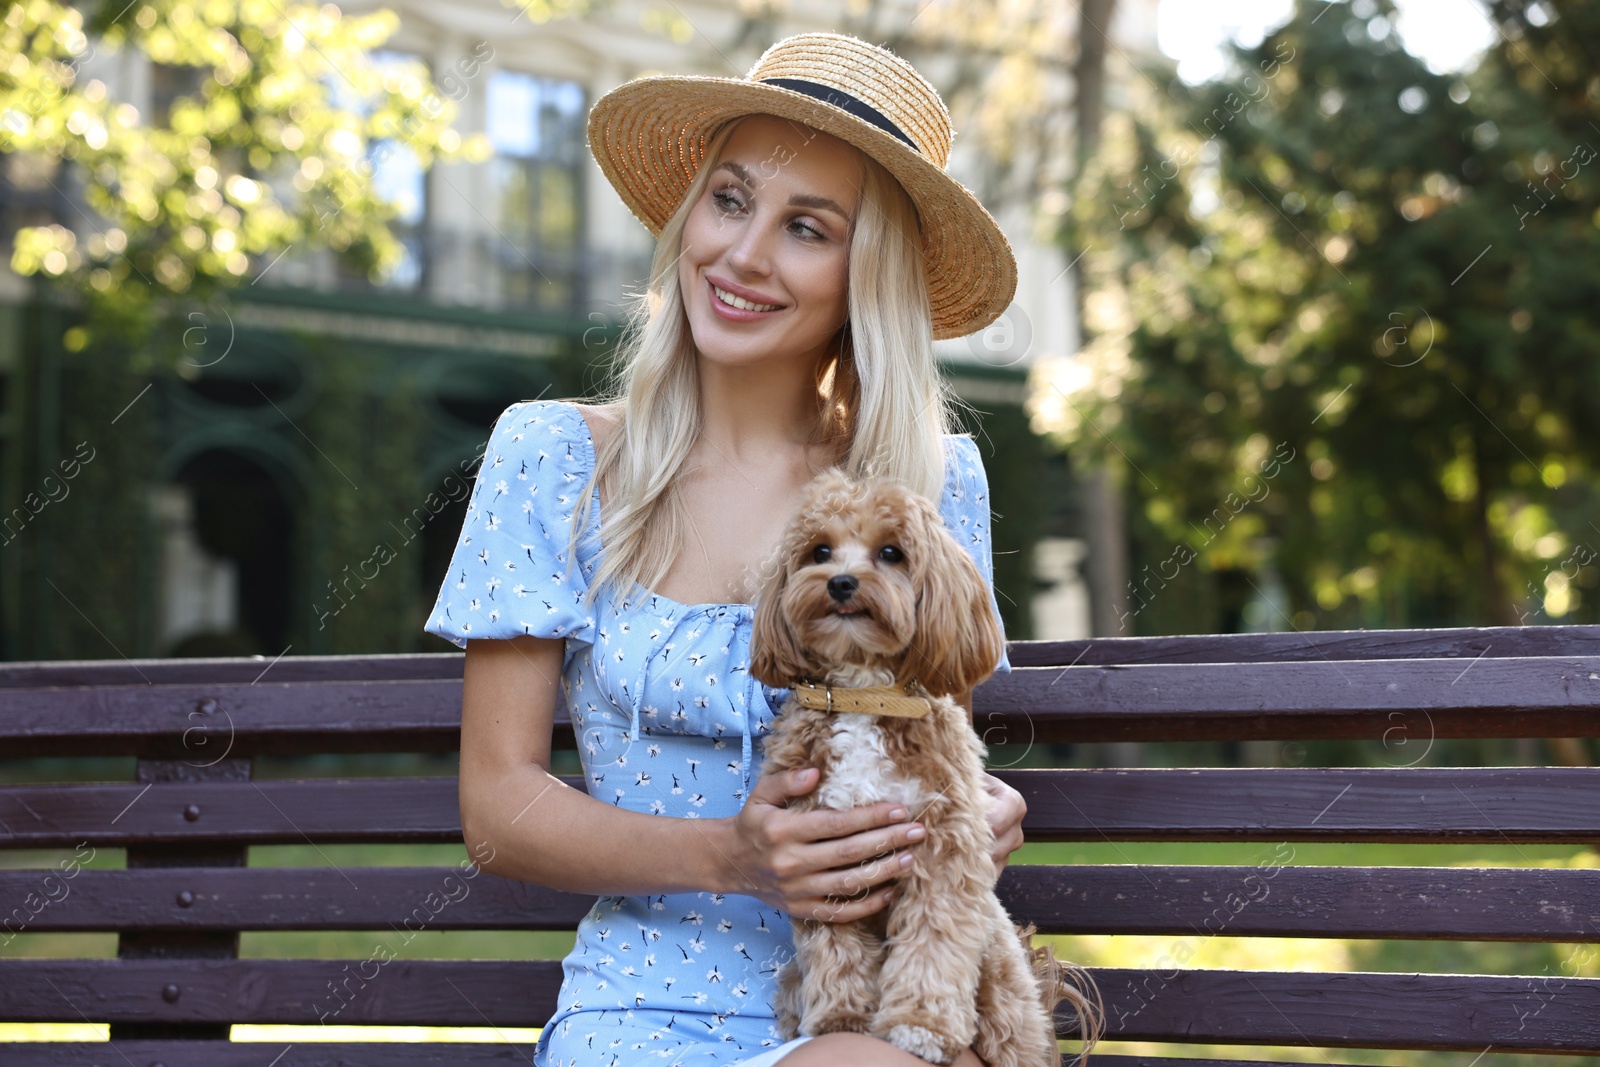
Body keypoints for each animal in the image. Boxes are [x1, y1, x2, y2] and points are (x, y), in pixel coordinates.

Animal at [748, 467, 1100, 1067]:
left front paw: (920, 1027)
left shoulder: (941, 850)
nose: (840, 583)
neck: (865, 694)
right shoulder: (821, 855)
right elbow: (835, 948)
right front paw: (842, 1019)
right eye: (820, 551)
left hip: (1003, 993)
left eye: (891, 552)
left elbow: (932, 943)